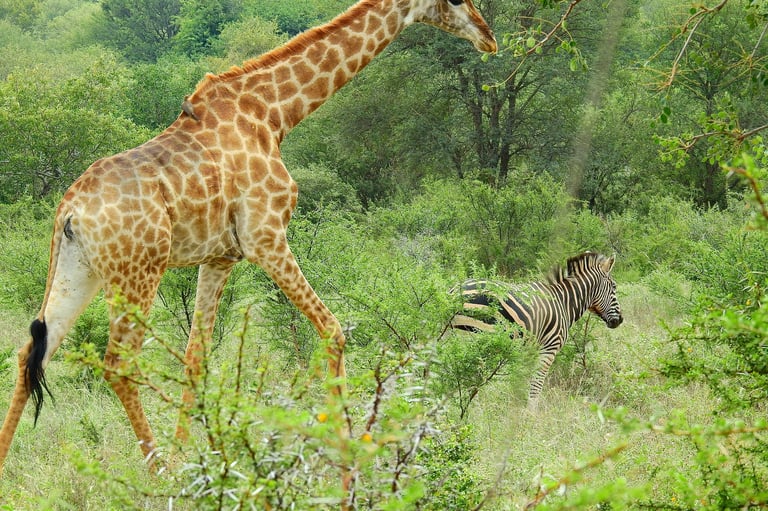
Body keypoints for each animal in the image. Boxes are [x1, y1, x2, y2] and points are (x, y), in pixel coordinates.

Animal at [0, 0, 496, 474]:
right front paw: (344, 458)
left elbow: (196, 357)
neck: (274, 114)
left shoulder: (219, 257)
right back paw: (157, 476)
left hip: (80, 271)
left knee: (31, 352)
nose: (487, 37)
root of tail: (69, 210)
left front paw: (200, 457)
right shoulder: (266, 236)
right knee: (117, 366)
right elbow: (333, 329)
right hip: (138, 272)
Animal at [451, 252, 623, 406]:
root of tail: (455, 290)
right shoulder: (549, 348)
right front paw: (531, 413)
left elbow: (522, 381)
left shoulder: (530, 350)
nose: (620, 320)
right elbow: (536, 385)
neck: (563, 301)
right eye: (614, 287)